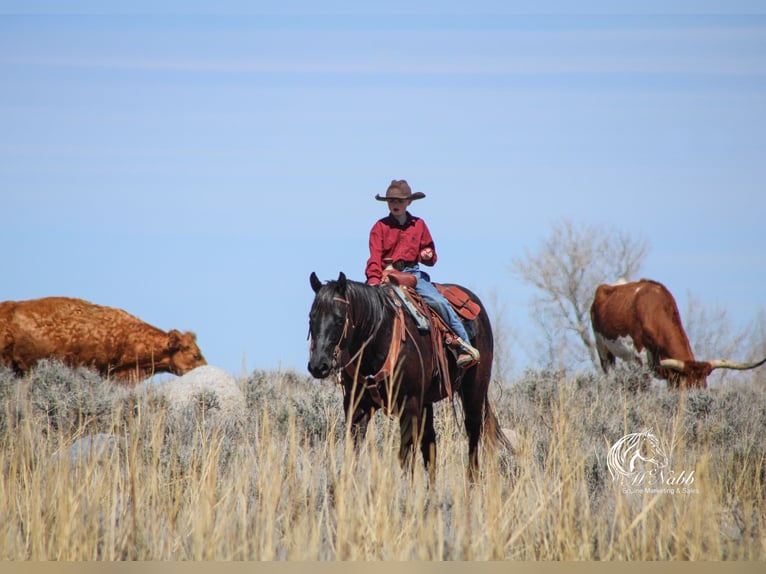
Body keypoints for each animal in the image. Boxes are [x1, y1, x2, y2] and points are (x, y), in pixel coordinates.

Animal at [306, 272, 510, 480]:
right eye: (311, 318)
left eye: (339, 319)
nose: (318, 365)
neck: (379, 339)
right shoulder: (357, 406)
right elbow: (354, 453)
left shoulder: (409, 405)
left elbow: (405, 456)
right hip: (427, 402)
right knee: (430, 446)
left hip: (474, 391)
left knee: (473, 435)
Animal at [592, 280, 764, 392]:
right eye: (686, 387)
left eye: (703, 387)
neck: (654, 311)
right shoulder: (640, 359)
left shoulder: (671, 375)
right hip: (602, 348)